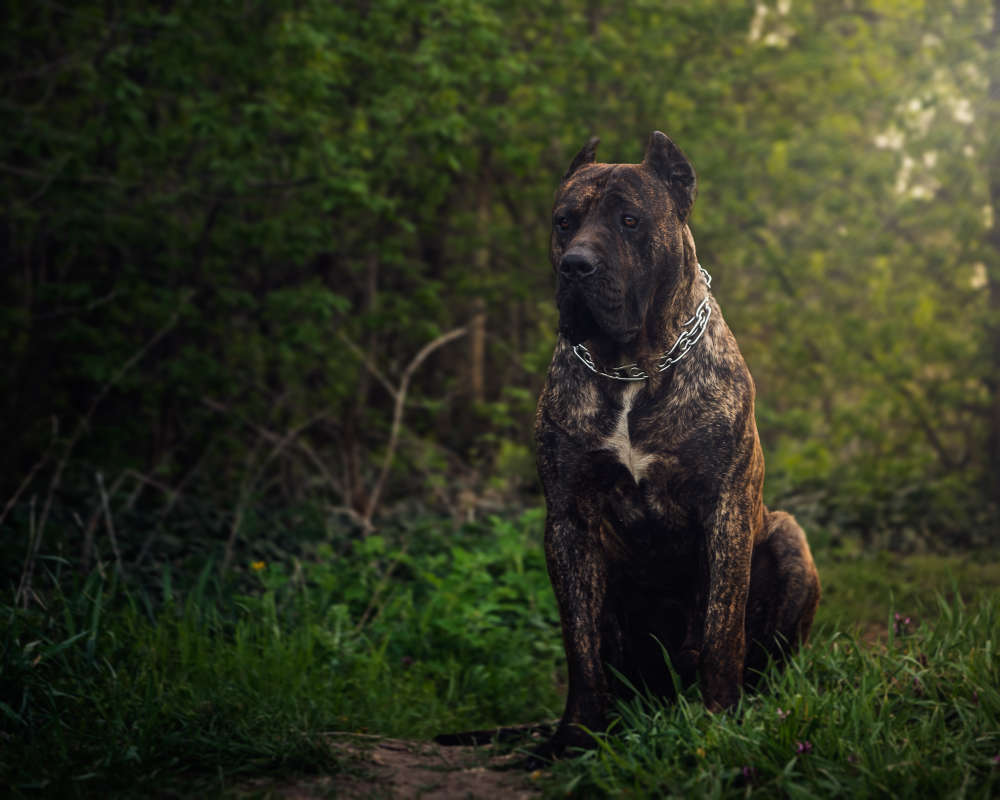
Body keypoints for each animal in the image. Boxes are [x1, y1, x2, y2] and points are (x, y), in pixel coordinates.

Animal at [532, 130, 820, 756]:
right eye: (564, 221)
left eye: (630, 220)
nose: (575, 265)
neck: (632, 368)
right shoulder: (568, 521)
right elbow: (579, 645)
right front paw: (576, 735)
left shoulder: (725, 509)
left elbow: (721, 631)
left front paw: (721, 721)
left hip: (788, 537)